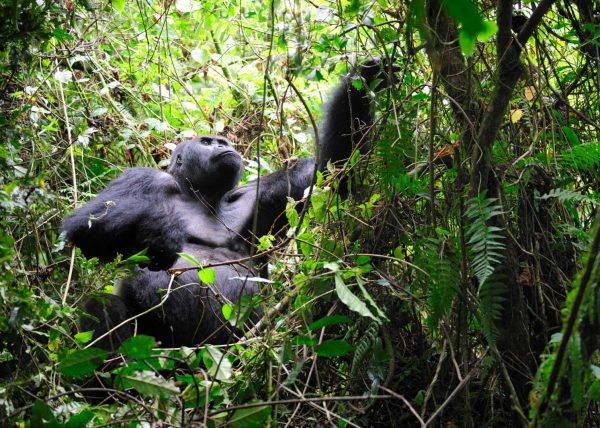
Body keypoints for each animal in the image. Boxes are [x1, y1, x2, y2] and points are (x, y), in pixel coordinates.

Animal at [62, 60, 390, 352]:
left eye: (223, 141)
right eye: (207, 143)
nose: (224, 146)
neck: (201, 195)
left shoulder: (259, 193)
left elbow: (333, 174)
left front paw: (363, 75)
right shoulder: (141, 177)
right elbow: (84, 224)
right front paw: (159, 226)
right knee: (102, 304)